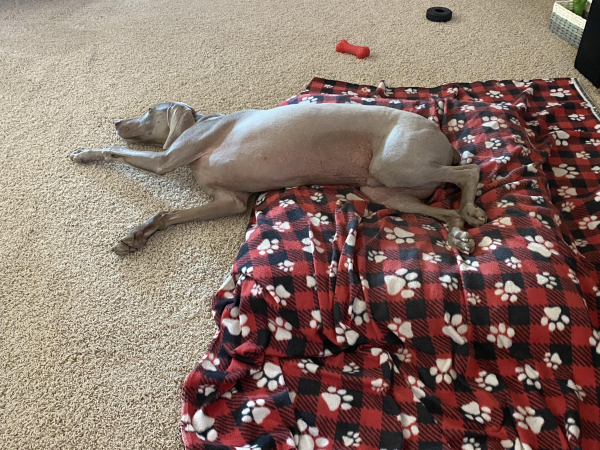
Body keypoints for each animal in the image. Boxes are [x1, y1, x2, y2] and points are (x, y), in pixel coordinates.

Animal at [70, 103, 488, 256]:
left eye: (149, 111)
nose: (117, 122)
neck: (202, 120)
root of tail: (442, 136)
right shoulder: (229, 201)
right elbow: (167, 215)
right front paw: (136, 236)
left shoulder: (165, 159)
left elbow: (116, 152)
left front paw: (86, 153)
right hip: (382, 189)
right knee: (447, 212)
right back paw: (458, 235)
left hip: (396, 164)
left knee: (470, 170)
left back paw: (471, 210)